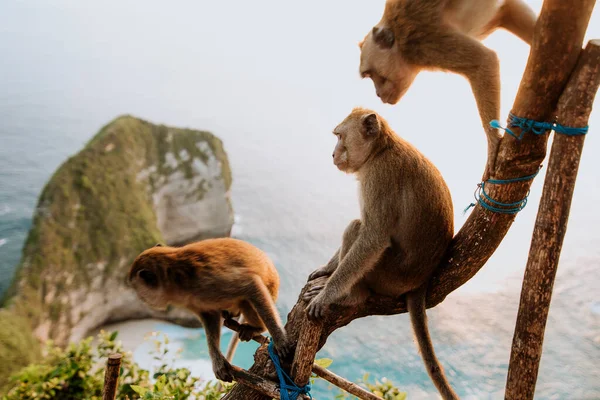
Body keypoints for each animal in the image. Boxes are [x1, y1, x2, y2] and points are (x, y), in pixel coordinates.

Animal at [128, 239, 290, 382]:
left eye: (137, 289)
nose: (141, 298)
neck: (176, 278)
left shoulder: (208, 280)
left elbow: (251, 285)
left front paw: (279, 337)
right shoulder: (193, 299)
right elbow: (209, 316)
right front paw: (218, 362)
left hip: (270, 289)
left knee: (247, 301)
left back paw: (256, 328)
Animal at [308, 107, 458, 400]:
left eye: (339, 136)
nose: (332, 154)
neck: (381, 150)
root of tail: (421, 281)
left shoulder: (380, 178)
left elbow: (372, 237)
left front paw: (327, 294)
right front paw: (327, 269)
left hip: (387, 276)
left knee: (357, 228)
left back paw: (351, 295)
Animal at [358, 0, 536, 178]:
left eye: (370, 74)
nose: (378, 93)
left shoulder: (424, 42)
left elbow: (483, 62)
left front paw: (492, 143)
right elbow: (510, 11)